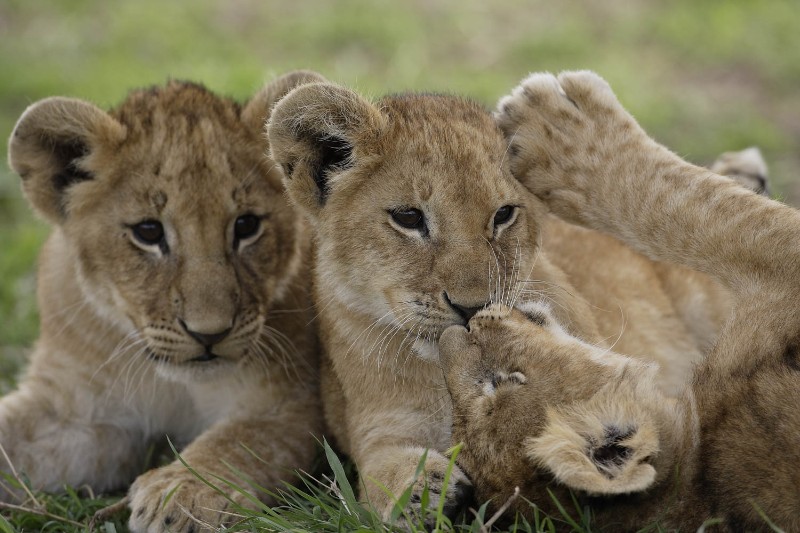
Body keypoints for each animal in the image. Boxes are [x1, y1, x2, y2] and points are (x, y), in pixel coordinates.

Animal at [2, 70, 324, 532]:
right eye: (148, 232)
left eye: (246, 225)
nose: (210, 334)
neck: (168, 379)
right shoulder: (72, 412)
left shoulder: (290, 402)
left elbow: (235, 443)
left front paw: (181, 495)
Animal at [266, 80, 764, 524]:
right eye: (408, 217)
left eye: (503, 215)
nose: (471, 309)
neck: (438, 373)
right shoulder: (373, 422)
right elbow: (378, 466)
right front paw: (419, 490)